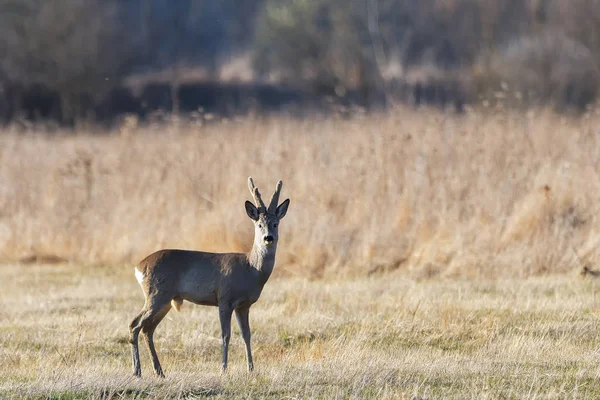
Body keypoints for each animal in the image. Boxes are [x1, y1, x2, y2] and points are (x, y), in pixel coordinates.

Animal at [129, 178, 290, 378]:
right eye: (259, 224)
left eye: (275, 223)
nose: (269, 238)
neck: (251, 269)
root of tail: (138, 267)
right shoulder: (225, 299)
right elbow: (226, 335)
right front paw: (223, 369)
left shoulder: (244, 305)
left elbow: (247, 334)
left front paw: (251, 368)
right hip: (157, 294)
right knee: (135, 324)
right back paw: (137, 371)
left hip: (165, 299)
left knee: (147, 329)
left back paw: (159, 371)